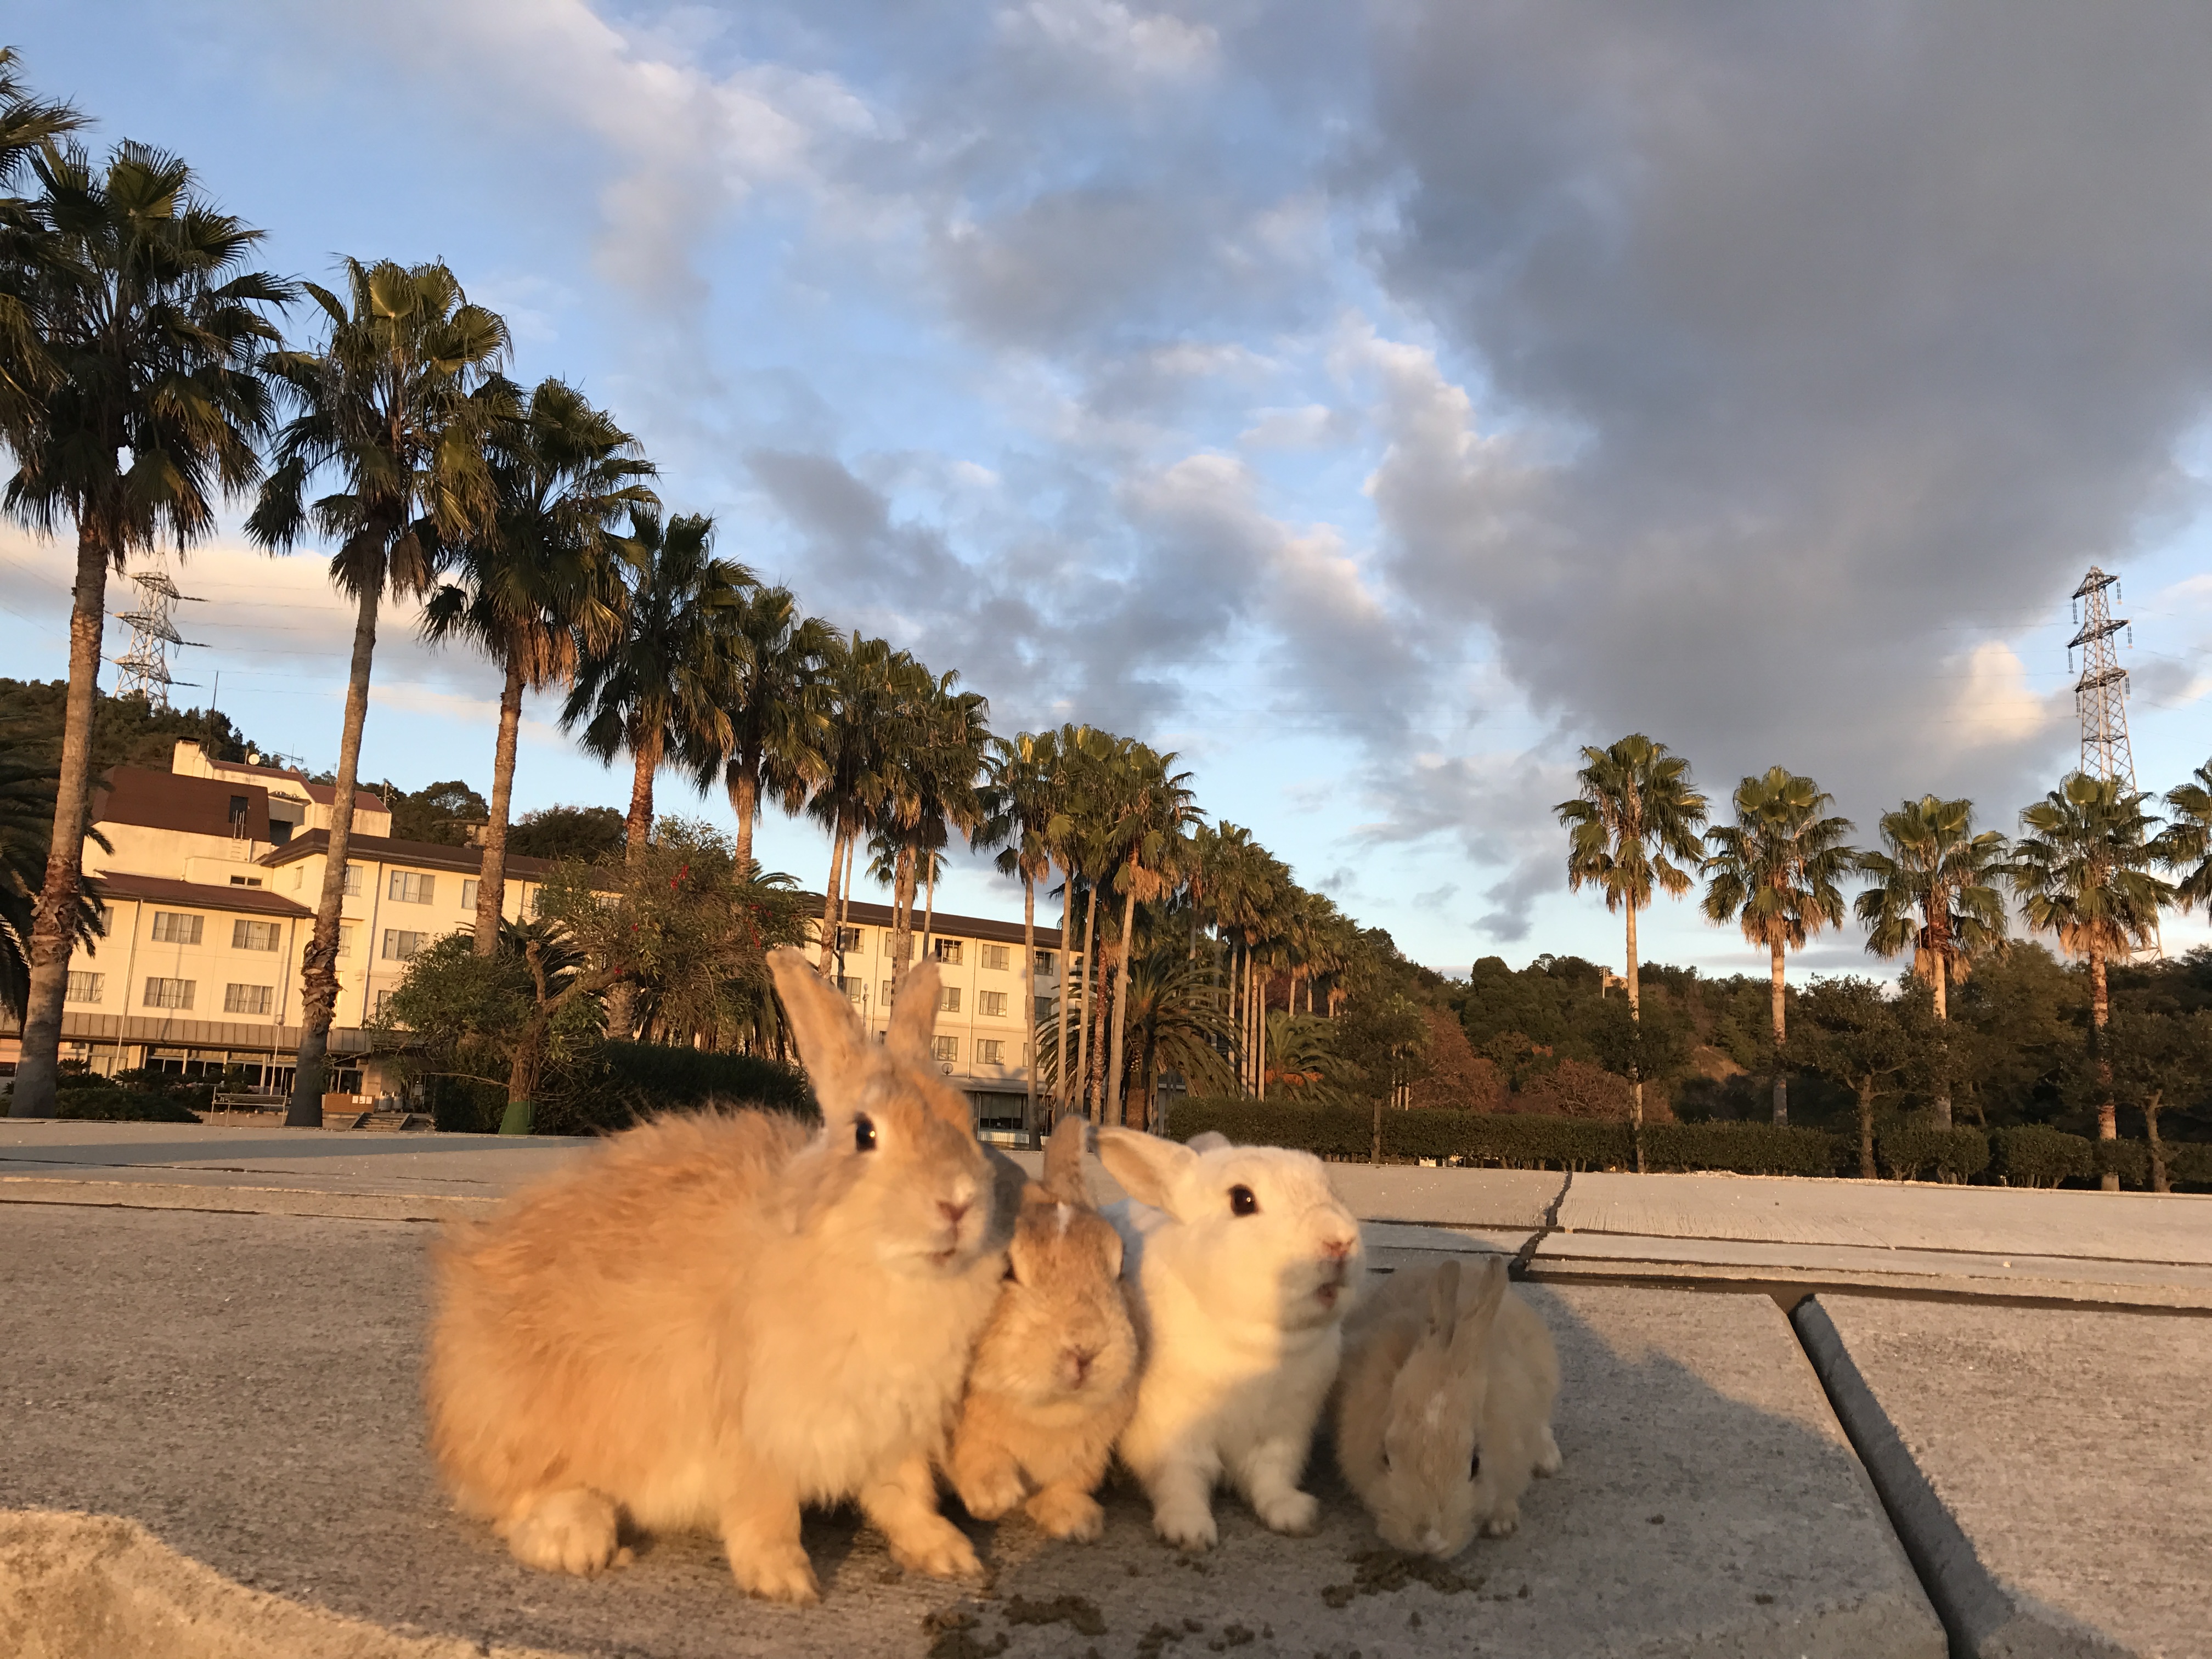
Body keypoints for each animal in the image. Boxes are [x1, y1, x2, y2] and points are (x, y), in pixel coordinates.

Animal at [425, 946, 1013, 1610]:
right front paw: (784, 1582)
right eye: (866, 1133)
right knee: (518, 1498)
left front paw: (949, 1557)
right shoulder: (751, 1432)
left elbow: (907, 1498)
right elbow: (767, 1512)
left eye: (967, 1122)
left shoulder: (894, 1433)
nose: (958, 1203)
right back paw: (581, 1539)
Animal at [946, 1119, 1141, 1548]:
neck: (1049, 1414)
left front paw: (1077, 1522)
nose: (1086, 1346)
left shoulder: (1089, 1456)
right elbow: (977, 1452)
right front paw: (994, 1497)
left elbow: (1069, 1483)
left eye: (1120, 1267)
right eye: (1006, 1269)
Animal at [1092, 1124, 1362, 1557]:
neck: (1260, 1343)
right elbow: (1181, 1480)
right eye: (1242, 1200)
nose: (1339, 1241)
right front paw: (1189, 1531)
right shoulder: (1170, 1433)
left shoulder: (1283, 1431)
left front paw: (1294, 1516)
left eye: (1330, 1187)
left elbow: (1271, 1477)